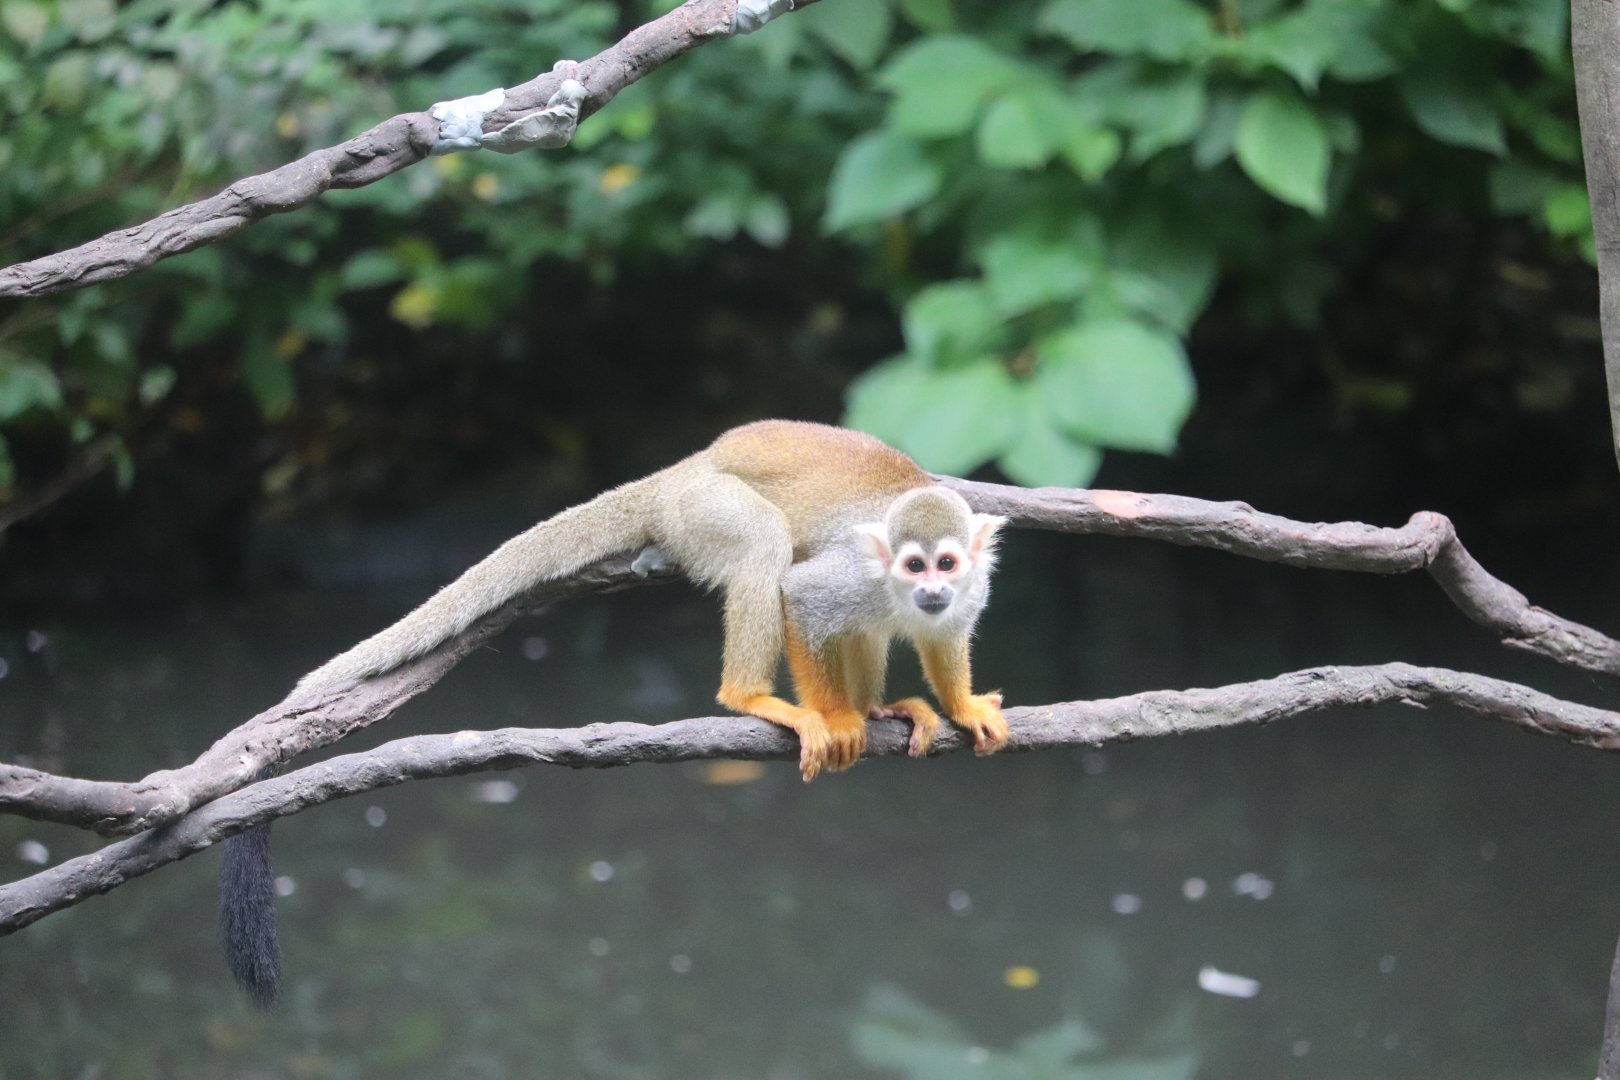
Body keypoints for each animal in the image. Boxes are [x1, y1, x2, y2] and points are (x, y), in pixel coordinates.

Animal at [221, 419, 1009, 1004]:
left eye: (946, 565)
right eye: (913, 563)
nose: (932, 589)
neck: (903, 589)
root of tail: (685, 467)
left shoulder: (966, 594)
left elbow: (945, 637)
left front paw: (959, 703)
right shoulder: (853, 576)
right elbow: (803, 595)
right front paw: (836, 720)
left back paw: (877, 705)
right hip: (703, 509)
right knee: (764, 545)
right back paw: (756, 698)